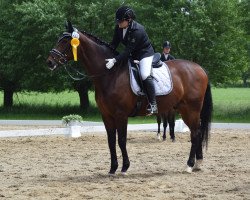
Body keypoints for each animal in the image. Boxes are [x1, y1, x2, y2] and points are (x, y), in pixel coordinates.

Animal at [47, 21, 213, 174]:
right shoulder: (106, 115)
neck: (110, 74)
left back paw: (189, 165)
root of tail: (200, 68)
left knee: (195, 133)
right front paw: (112, 168)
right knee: (197, 131)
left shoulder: (121, 115)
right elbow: (111, 141)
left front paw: (124, 167)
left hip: (191, 109)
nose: (49, 62)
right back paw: (197, 163)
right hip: (185, 110)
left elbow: (121, 140)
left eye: (65, 41)